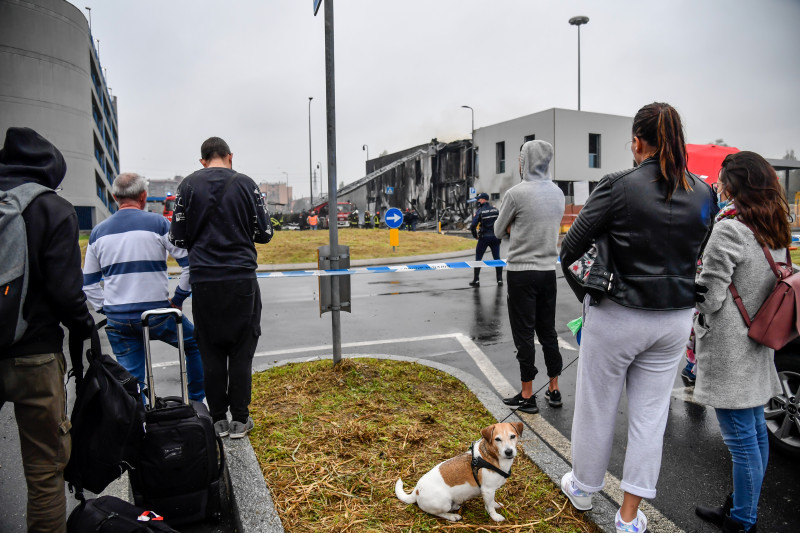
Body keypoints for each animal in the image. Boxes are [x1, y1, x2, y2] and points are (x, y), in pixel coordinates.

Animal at [396, 422, 524, 520]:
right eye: (497, 439)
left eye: (513, 436)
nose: (509, 452)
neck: (492, 456)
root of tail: (417, 491)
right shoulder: (487, 490)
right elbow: (490, 507)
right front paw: (495, 517)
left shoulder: (490, 492)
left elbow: (491, 502)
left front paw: (495, 505)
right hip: (444, 503)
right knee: (437, 513)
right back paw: (452, 516)